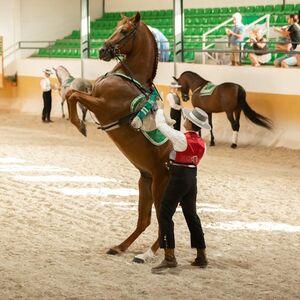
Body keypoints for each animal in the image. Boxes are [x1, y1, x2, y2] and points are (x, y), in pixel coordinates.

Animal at [66, 12, 172, 264]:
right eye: (115, 26)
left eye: (124, 31)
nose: (103, 50)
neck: (127, 79)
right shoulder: (94, 98)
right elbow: (70, 93)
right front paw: (79, 124)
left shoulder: (103, 106)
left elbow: (73, 95)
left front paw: (80, 125)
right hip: (146, 182)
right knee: (145, 220)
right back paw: (120, 247)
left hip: (160, 185)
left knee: (163, 222)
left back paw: (146, 254)